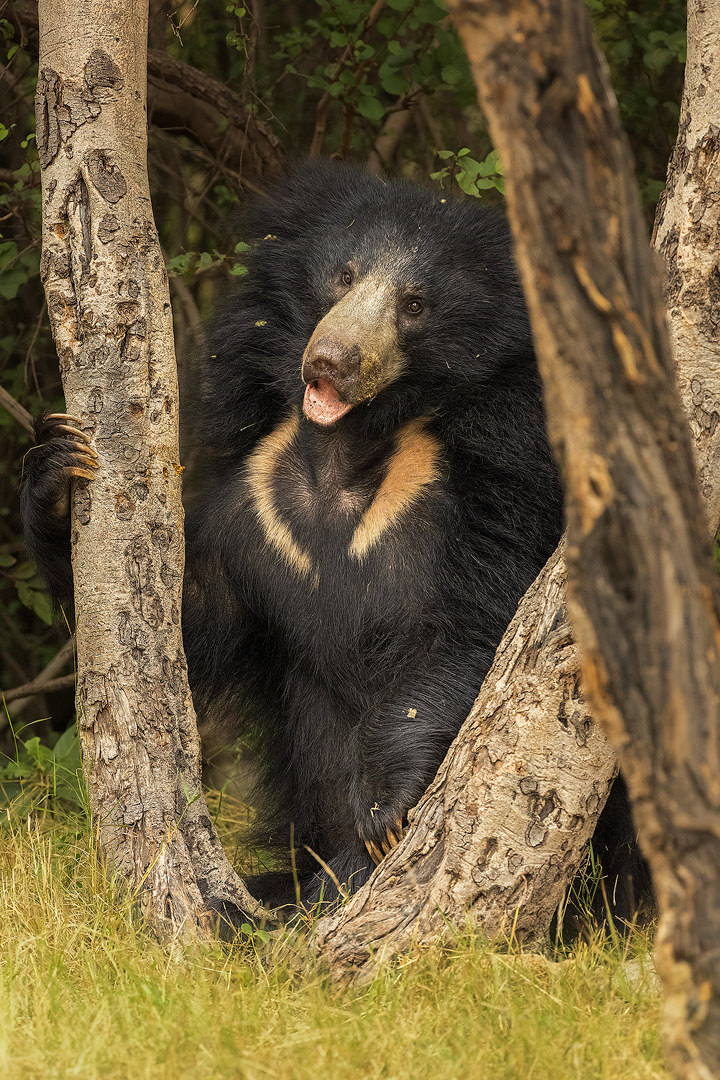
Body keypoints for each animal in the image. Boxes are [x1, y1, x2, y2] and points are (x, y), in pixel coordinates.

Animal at [21, 159, 647, 920]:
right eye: (344, 276)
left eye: (415, 305)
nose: (331, 360)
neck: (344, 452)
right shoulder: (252, 507)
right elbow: (189, 621)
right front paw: (59, 468)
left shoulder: (497, 484)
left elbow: (481, 630)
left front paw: (385, 812)